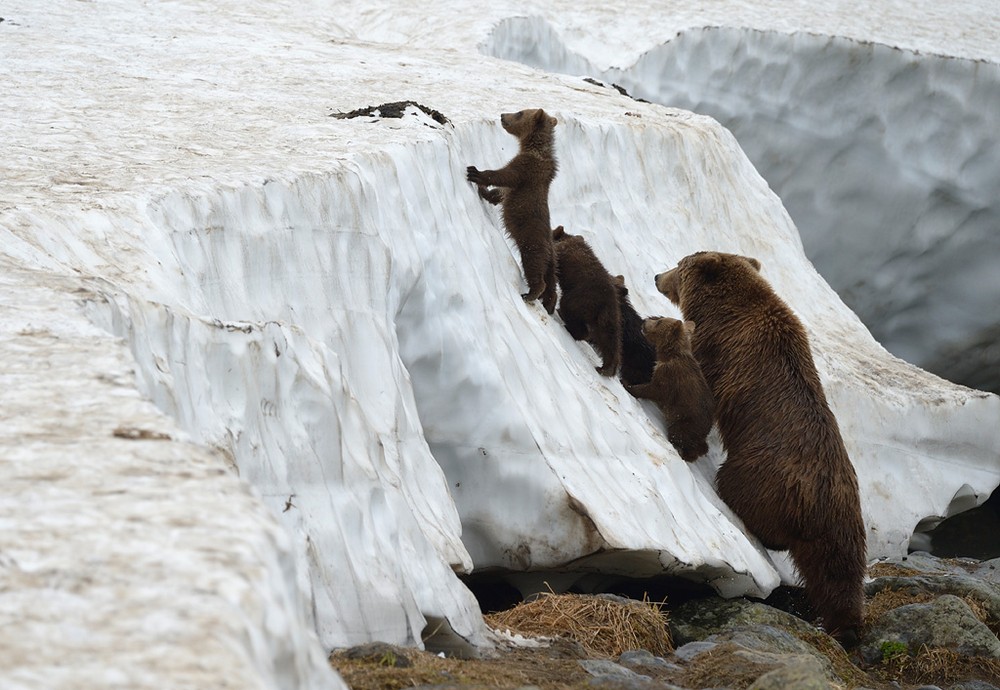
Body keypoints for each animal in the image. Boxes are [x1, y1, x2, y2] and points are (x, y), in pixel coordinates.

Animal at [470, 109, 564, 314]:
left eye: (520, 112)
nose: (502, 115)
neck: (534, 148)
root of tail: (549, 246)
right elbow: (500, 193)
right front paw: (484, 190)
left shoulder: (526, 169)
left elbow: (504, 175)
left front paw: (475, 173)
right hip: (552, 258)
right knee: (552, 279)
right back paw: (549, 303)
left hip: (532, 241)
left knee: (534, 267)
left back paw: (530, 294)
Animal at [552, 226, 620, 376]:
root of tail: (606, 304)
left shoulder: (563, 253)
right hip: (606, 319)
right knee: (608, 340)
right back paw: (606, 367)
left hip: (580, 298)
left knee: (569, 309)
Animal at [620, 318, 716, 462]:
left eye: (659, 321)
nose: (645, 320)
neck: (669, 355)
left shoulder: (669, 377)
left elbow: (652, 389)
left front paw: (627, 384)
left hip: (686, 421)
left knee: (680, 436)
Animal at [656, 251, 868, 644]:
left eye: (679, 264)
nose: (656, 276)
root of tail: (820, 499)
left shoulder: (721, 345)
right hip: (844, 520)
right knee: (836, 572)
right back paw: (845, 622)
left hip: (759, 474)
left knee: (741, 494)